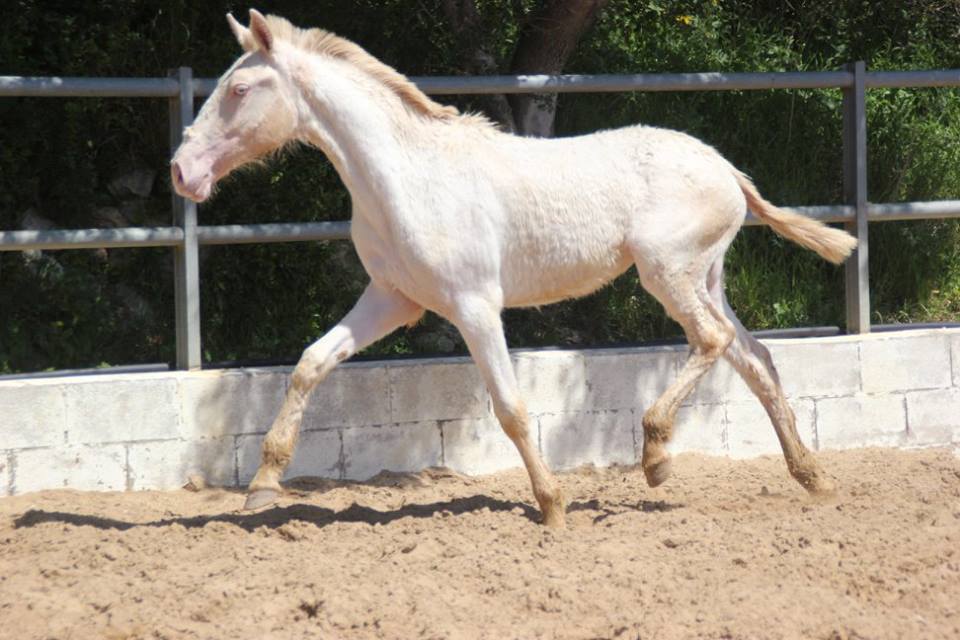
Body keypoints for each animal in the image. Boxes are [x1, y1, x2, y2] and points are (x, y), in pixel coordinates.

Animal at [171, 10, 856, 528]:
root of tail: (727, 170)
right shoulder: (392, 298)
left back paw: (657, 456)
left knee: (711, 342)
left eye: (238, 91)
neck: (407, 175)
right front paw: (263, 484)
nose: (183, 172)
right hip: (704, 279)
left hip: (667, 273)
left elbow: (510, 408)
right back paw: (813, 479)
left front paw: (552, 506)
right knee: (755, 360)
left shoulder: (474, 306)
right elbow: (311, 363)